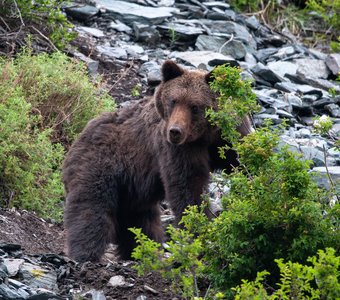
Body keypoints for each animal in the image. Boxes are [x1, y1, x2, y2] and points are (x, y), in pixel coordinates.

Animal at [62, 61, 254, 262]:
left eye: (195, 106)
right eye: (173, 101)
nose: (175, 131)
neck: (205, 137)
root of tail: (80, 136)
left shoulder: (230, 136)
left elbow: (243, 163)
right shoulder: (175, 149)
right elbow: (187, 188)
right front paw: (201, 231)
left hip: (132, 188)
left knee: (138, 221)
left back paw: (143, 252)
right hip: (100, 163)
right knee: (91, 207)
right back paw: (86, 254)